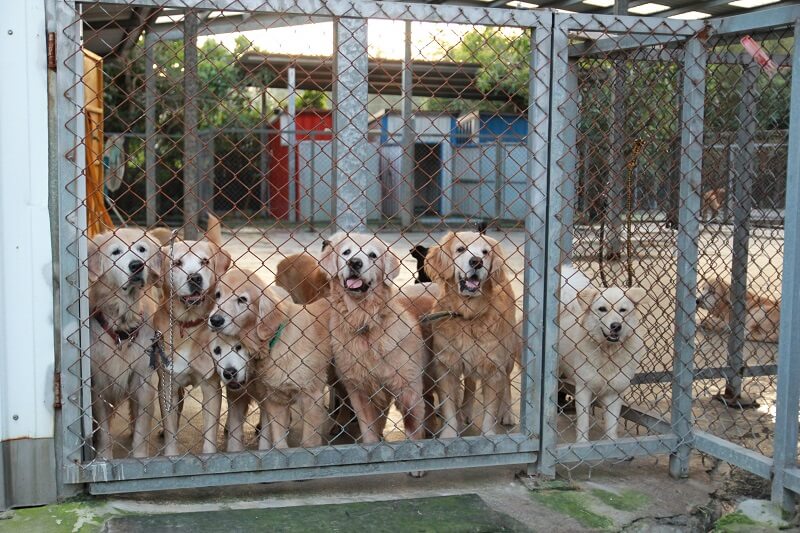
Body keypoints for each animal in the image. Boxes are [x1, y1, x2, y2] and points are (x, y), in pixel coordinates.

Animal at [86, 228, 170, 458]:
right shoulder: (99, 385)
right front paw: (103, 457)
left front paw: (139, 457)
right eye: (116, 252)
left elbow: (141, 430)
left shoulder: (143, 381)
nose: (136, 265)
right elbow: (104, 431)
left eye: (142, 249)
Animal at [155, 214, 231, 456]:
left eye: (204, 262)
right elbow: (171, 429)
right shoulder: (167, 384)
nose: (195, 278)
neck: (188, 325)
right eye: (177, 263)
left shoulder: (211, 386)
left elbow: (209, 433)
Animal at [424, 231, 520, 438]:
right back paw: (466, 412)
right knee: (469, 384)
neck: (468, 317)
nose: (476, 262)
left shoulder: (493, 366)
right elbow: (449, 407)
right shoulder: (446, 364)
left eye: (486, 252)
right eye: (460, 249)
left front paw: (488, 435)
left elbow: (490, 412)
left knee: (507, 383)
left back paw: (507, 413)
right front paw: (450, 433)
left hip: (508, 354)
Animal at [560, 264, 648, 442]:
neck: (608, 353)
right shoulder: (583, 389)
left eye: (623, 310)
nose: (616, 326)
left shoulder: (614, 394)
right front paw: (582, 443)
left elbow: (612, 426)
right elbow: (583, 424)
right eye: (602, 309)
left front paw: (612, 442)